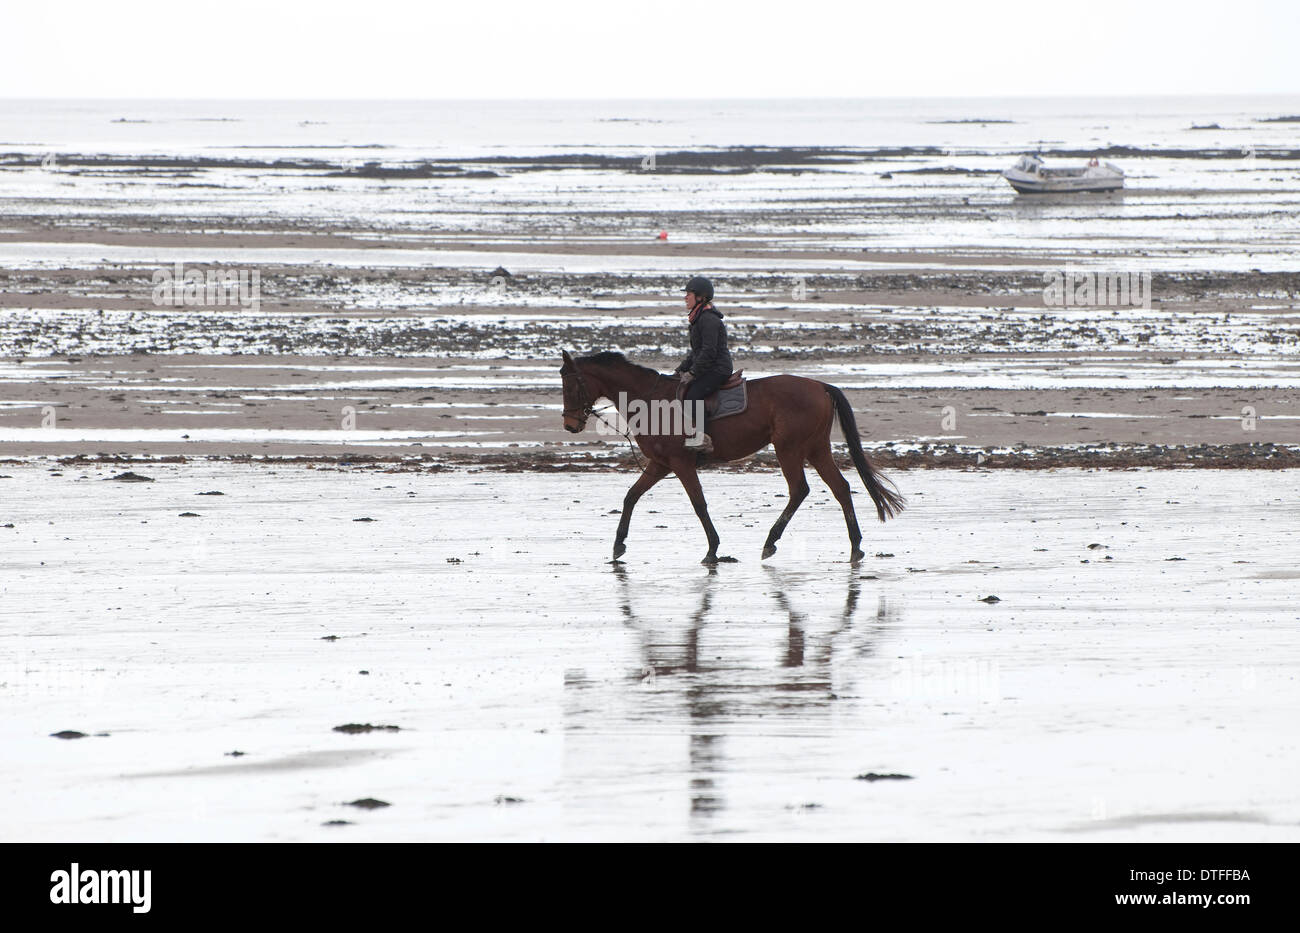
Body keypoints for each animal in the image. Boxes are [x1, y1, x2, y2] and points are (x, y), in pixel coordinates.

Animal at [559, 350, 905, 564]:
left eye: (571, 384)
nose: (570, 425)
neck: (650, 399)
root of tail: (819, 386)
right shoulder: (660, 464)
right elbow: (631, 496)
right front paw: (618, 544)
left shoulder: (681, 463)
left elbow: (698, 503)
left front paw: (713, 549)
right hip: (816, 448)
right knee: (841, 488)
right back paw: (855, 546)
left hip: (789, 448)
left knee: (799, 490)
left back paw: (771, 542)